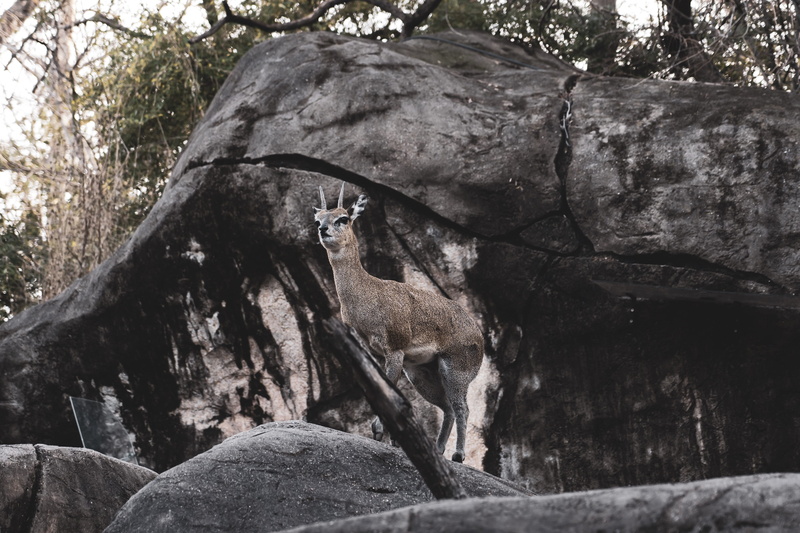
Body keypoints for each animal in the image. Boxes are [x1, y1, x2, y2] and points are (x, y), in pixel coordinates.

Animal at [313, 182, 483, 462]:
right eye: (318, 219)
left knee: (463, 407)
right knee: (448, 407)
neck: (368, 296)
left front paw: (379, 430)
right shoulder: (374, 351)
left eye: (343, 218)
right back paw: (438, 449)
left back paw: (458, 454)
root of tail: (480, 337)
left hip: (455, 369)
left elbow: (389, 386)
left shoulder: (395, 348)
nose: (323, 230)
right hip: (422, 372)